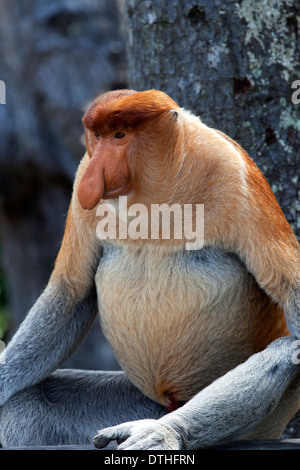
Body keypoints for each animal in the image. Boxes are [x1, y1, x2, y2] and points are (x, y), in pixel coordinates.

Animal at [0, 90, 300, 450]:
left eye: (120, 135)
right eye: (97, 136)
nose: (95, 177)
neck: (157, 189)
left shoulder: (235, 174)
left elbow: (293, 299)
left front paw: (163, 434)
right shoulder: (83, 170)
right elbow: (71, 291)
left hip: (263, 424)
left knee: (287, 349)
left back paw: (163, 428)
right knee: (27, 403)